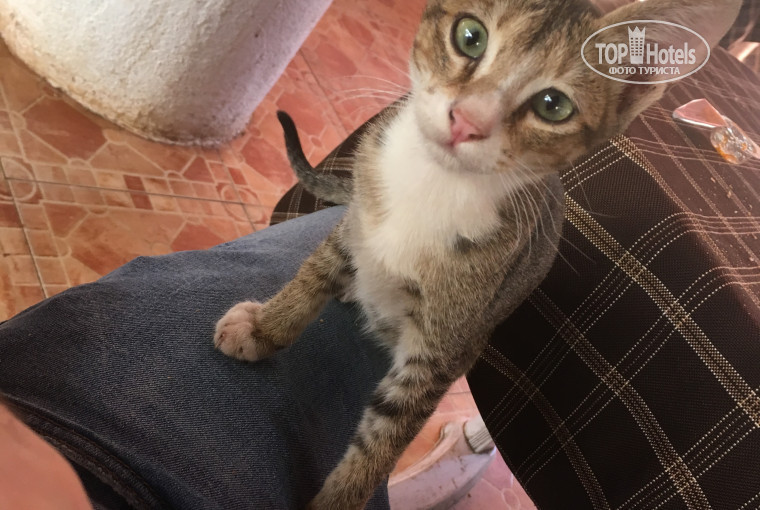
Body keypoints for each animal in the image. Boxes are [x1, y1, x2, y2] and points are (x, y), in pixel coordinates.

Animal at [213, 0, 740, 508]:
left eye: (553, 105)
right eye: (470, 37)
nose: (468, 120)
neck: (433, 186)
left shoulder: (447, 345)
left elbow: (385, 436)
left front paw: (340, 498)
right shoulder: (355, 219)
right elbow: (313, 275)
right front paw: (265, 328)